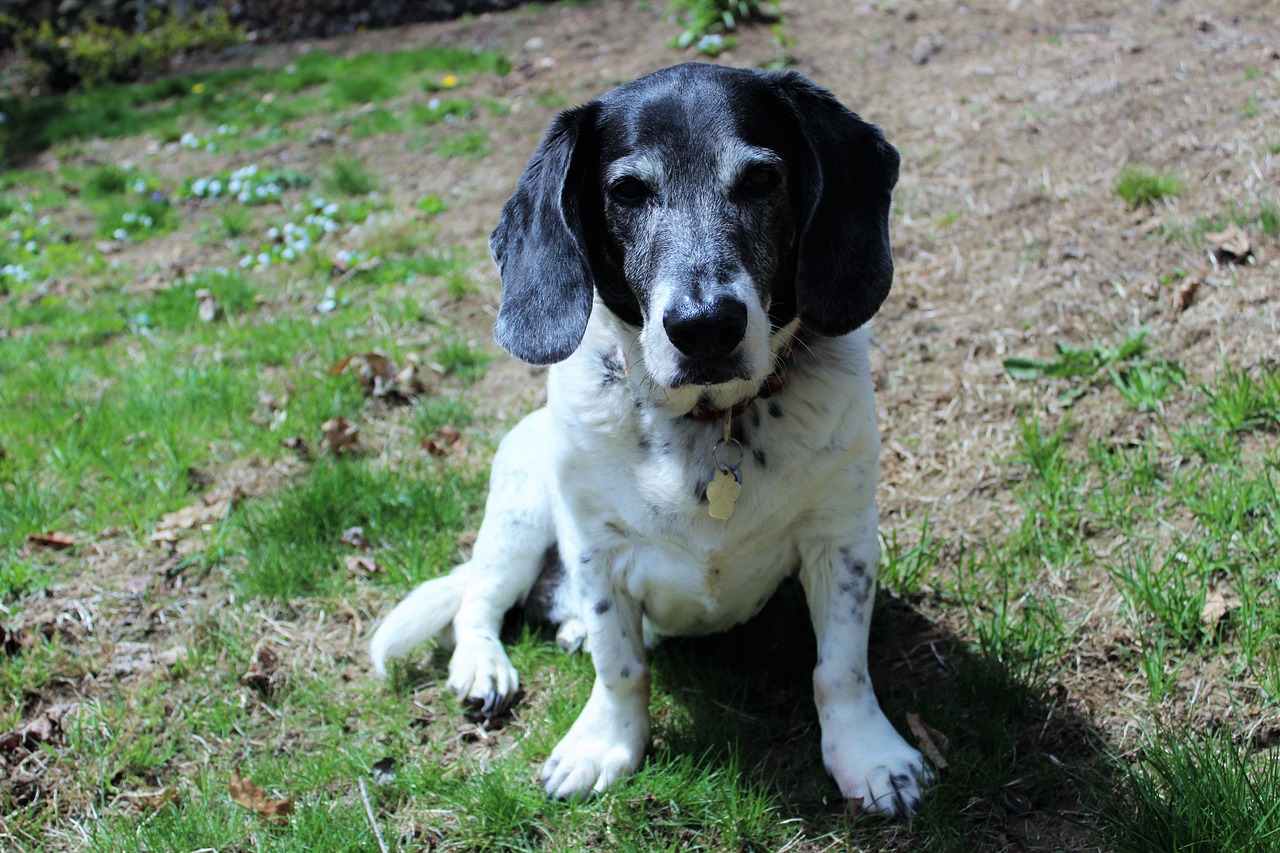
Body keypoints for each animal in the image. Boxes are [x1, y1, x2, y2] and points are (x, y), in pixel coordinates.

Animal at [371, 63, 931, 814]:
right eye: (627, 191)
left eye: (762, 179)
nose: (705, 326)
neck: (709, 423)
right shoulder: (597, 550)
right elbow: (621, 666)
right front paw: (604, 744)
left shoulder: (842, 540)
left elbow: (839, 668)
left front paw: (870, 757)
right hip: (520, 516)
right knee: (478, 597)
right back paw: (485, 665)